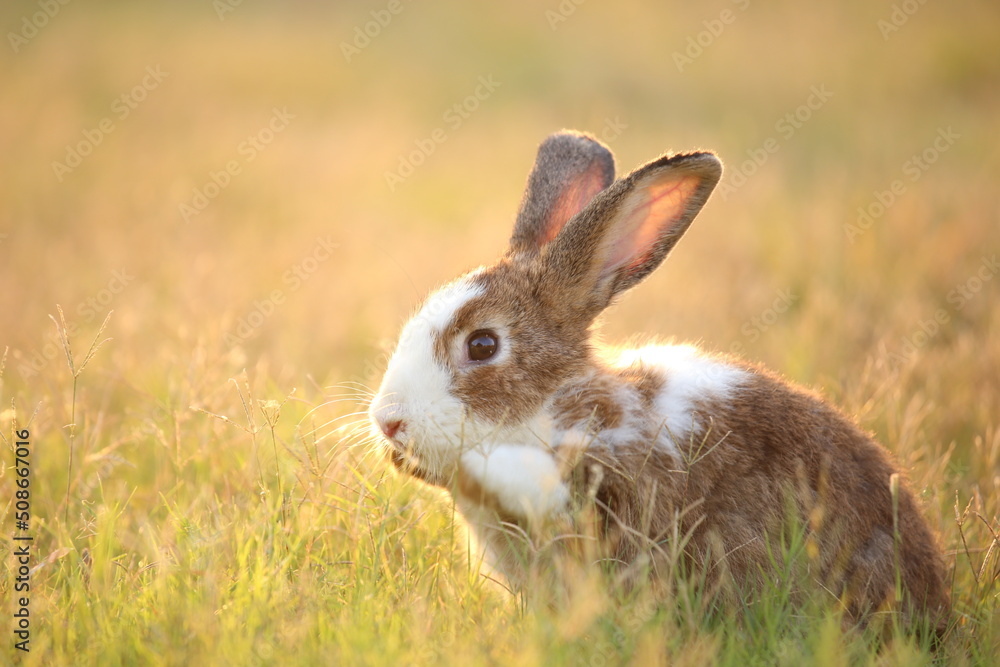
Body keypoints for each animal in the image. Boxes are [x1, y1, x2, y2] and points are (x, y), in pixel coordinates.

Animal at [369, 130, 950, 632]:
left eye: (483, 345)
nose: (389, 423)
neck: (553, 405)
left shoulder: (607, 475)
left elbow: (531, 481)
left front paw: (466, 463)